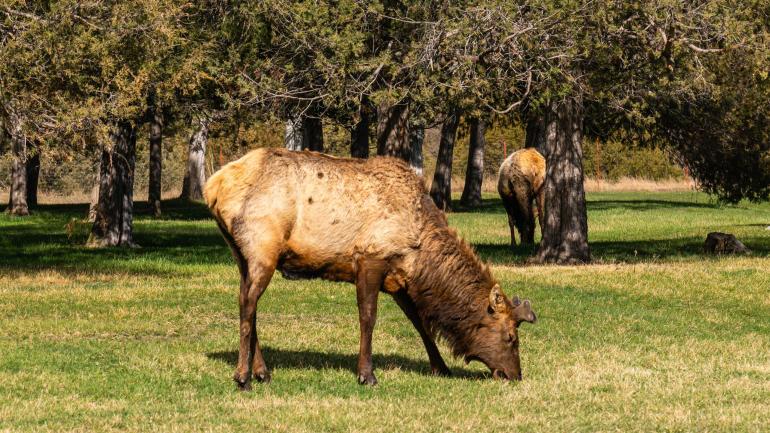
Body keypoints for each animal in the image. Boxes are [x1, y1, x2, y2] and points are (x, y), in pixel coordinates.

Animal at [207, 148, 536, 388]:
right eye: (511, 337)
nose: (516, 375)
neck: (420, 251)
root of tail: (214, 186)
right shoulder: (370, 257)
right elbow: (368, 317)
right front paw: (367, 374)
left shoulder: (399, 278)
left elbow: (421, 323)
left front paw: (441, 367)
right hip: (262, 246)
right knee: (247, 304)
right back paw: (243, 376)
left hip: (241, 255)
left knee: (247, 303)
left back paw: (262, 372)